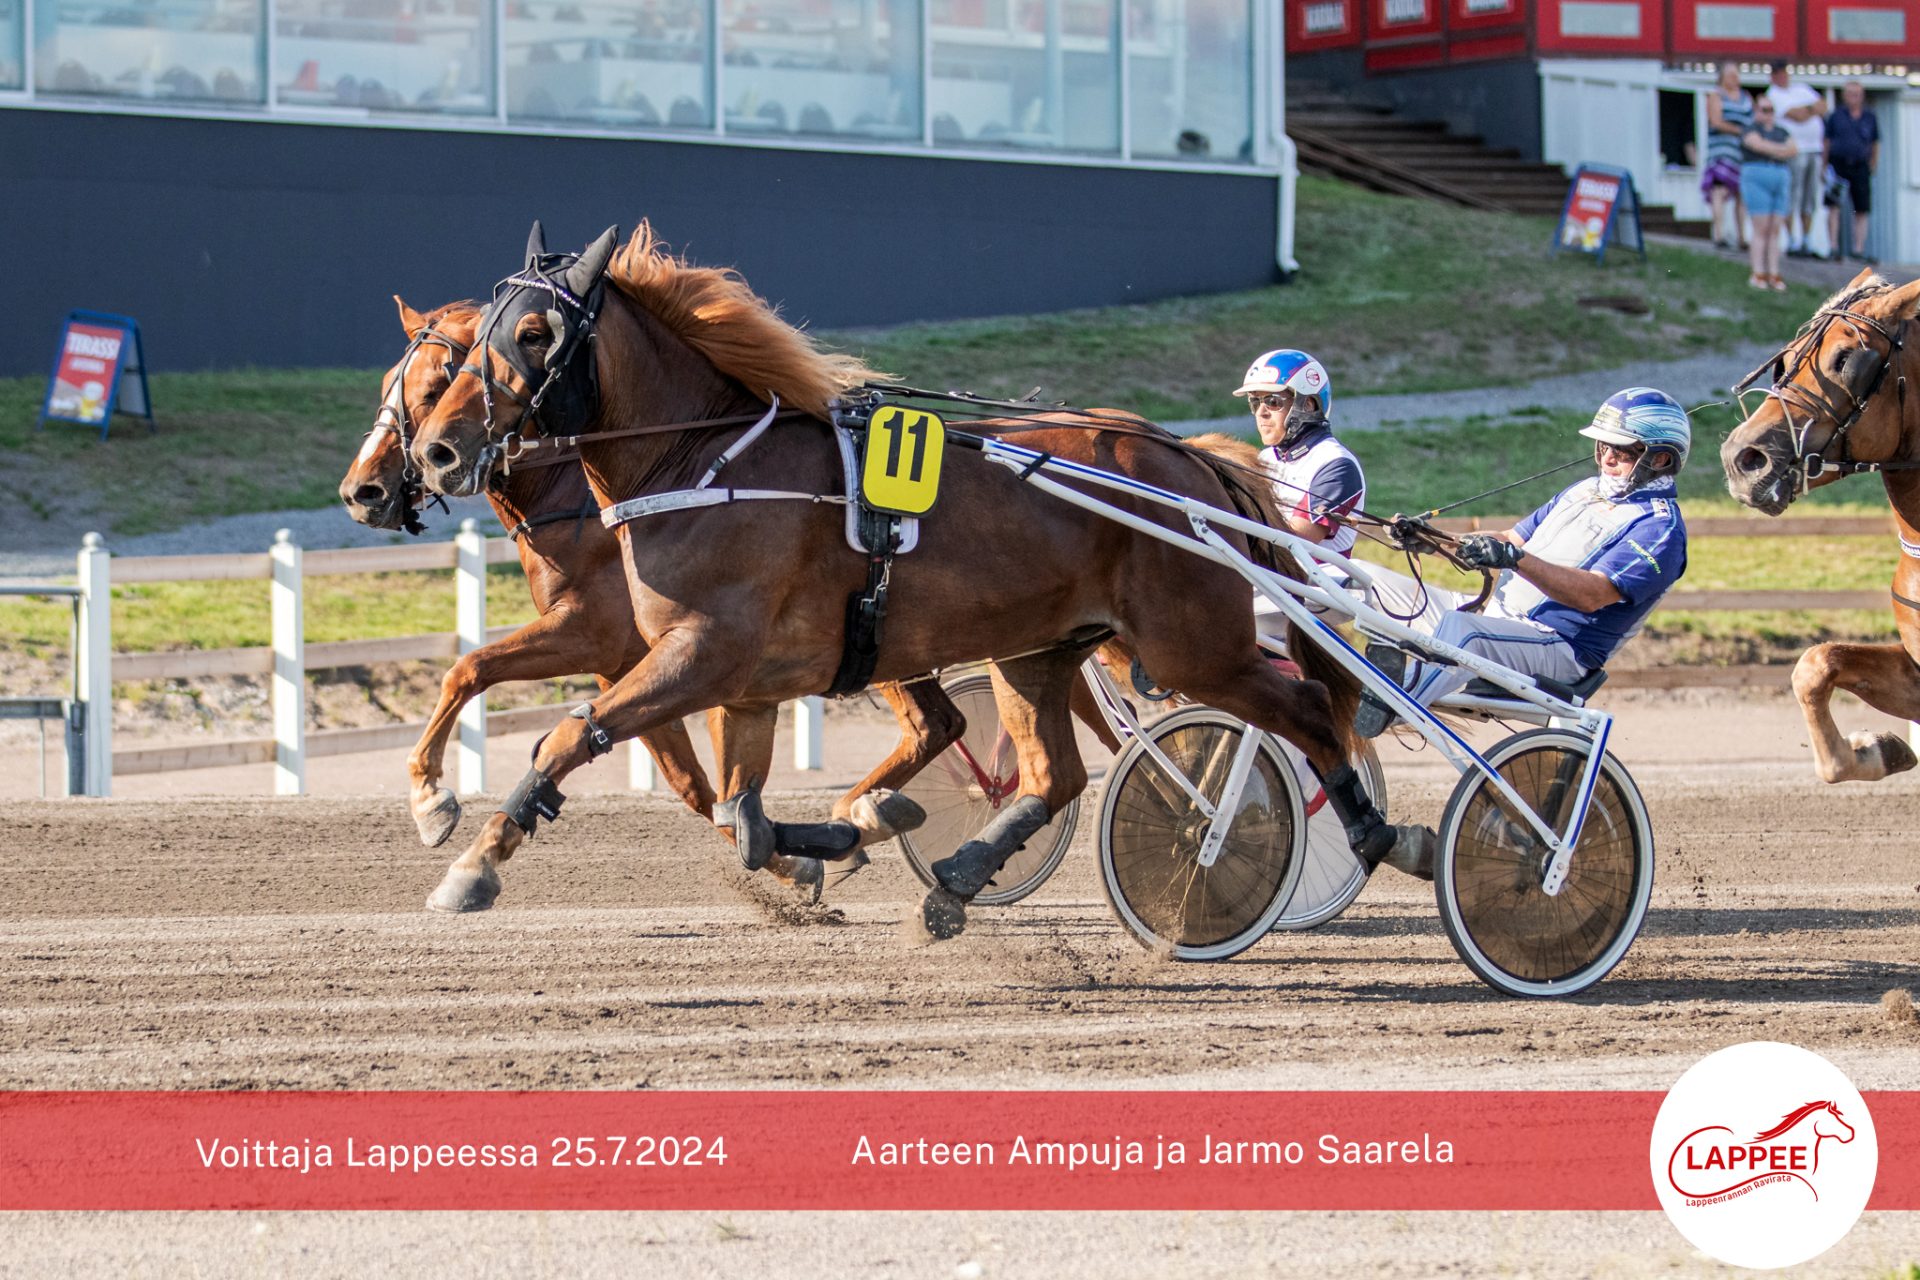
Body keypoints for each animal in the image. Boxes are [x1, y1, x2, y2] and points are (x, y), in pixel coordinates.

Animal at [406, 222, 1405, 940]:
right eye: (471, 342)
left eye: (534, 333)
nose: (437, 452)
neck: (703, 463)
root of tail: (1189, 459)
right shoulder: (742, 681)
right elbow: (739, 812)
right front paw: (841, 835)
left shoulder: (698, 655)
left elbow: (567, 736)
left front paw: (471, 861)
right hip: (1039, 649)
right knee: (1054, 774)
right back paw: (959, 874)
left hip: (1191, 643)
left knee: (1305, 712)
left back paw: (1369, 832)